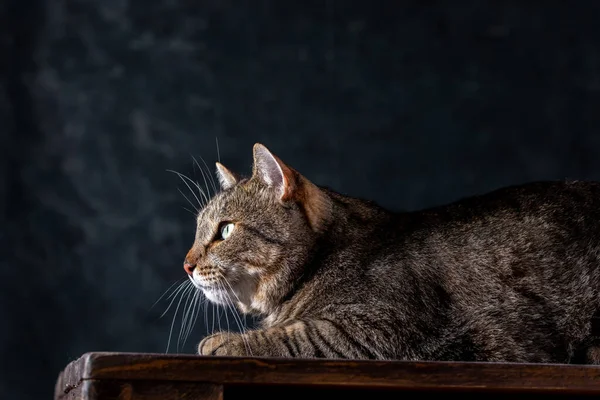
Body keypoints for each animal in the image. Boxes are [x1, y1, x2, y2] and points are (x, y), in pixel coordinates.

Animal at [183, 143, 600, 362]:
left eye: (225, 230)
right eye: (199, 229)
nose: (186, 264)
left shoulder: (379, 330)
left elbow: (293, 335)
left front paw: (223, 342)